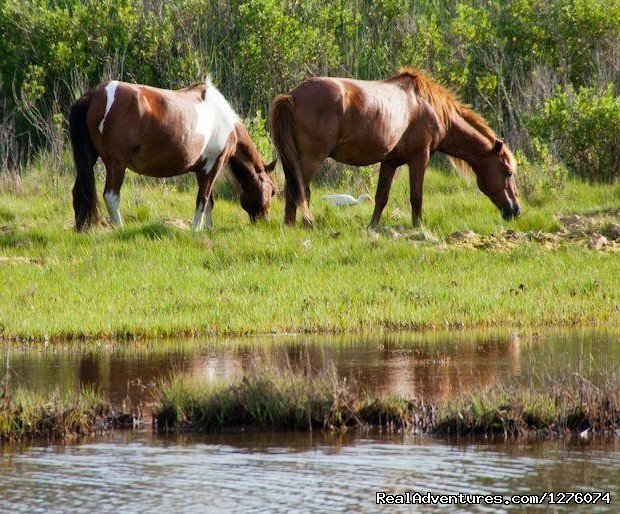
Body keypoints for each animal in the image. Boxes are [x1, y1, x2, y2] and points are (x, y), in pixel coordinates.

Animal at [68, 78, 278, 230]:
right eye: (274, 192)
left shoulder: (202, 170)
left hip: (90, 159)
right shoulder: (213, 165)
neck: (223, 119)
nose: (264, 223)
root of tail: (94, 95)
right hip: (116, 163)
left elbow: (209, 202)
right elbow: (202, 200)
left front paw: (207, 230)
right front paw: (195, 230)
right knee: (111, 196)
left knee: (79, 192)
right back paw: (120, 229)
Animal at [270, 67, 520, 226]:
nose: (516, 209)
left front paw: (372, 227)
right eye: (508, 172)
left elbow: (381, 197)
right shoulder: (420, 158)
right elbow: (416, 197)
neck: (428, 107)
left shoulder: (390, 162)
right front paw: (418, 227)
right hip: (311, 159)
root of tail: (291, 96)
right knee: (296, 191)